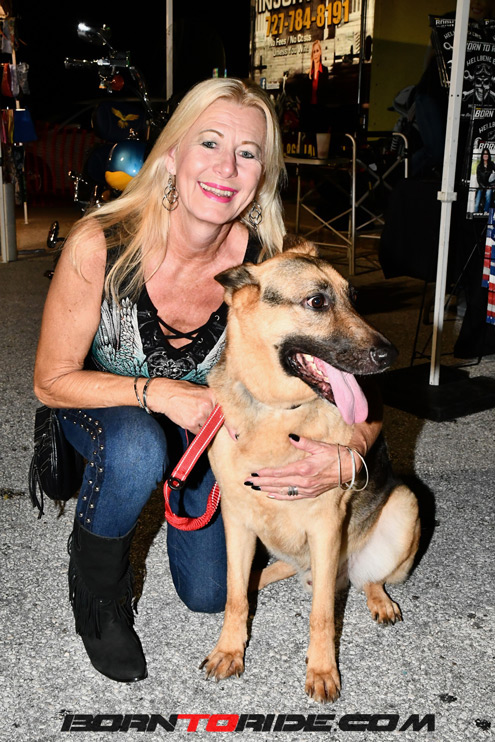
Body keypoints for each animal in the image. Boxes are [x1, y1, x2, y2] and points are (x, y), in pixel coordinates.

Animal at [203, 236, 420, 703]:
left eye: (355, 298)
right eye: (316, 301)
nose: (389, 355)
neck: (276, 412)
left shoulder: (325, 526)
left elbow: (321, 614)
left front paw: (322, 671)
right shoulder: (236, 520)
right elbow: (234, 596)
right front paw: (229, 649)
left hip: (404, 506)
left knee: (367, 577)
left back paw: (379, 598)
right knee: (265, 577)